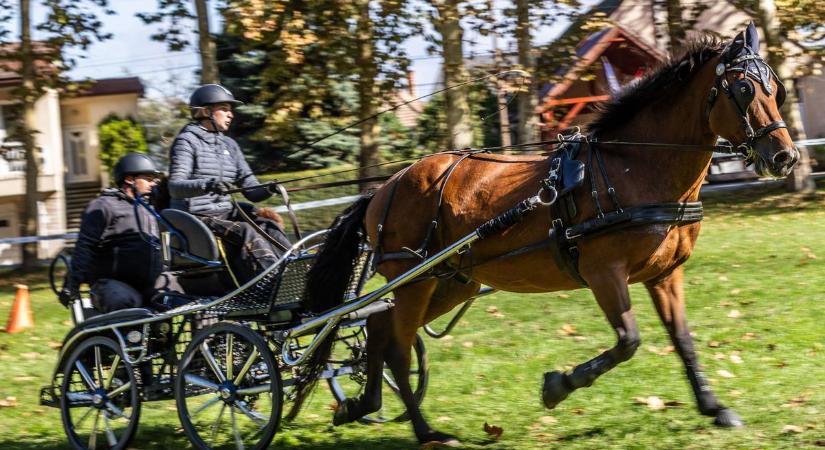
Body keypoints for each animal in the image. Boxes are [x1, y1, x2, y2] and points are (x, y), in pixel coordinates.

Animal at [304, 22, 800, 444]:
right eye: (743, 88)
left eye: (776, 88)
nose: (785, 158)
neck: (634, 167)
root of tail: (384, 188)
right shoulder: (604, 273)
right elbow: (628, 341)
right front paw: (559, 385)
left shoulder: (664, 275)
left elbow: (683, 342)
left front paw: (714, 407)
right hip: (415, 280)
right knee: (398, 348)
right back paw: (426, 431)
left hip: (452, 282)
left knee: (377, 327)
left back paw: (363, 404)